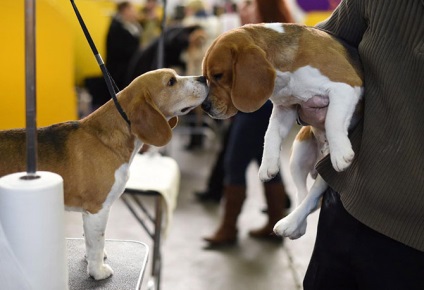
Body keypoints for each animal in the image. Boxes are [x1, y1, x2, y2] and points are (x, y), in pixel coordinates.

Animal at [0, 69, 208, 280]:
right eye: (171, 81)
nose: (204, 78)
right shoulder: (97, 209)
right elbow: (97, 243)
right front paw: (98, 271)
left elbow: (90, 240)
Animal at [202, 23, 364, 239]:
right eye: (206, 78)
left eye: (218, 75)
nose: (205, 106)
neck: (286, 75)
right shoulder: (286, 108)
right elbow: (270, 134)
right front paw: (267, 165)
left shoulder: (346, 85)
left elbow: (332, 120)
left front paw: (340, 152)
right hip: (298, 154)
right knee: (303, 195)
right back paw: (293, 224)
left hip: (325, 169)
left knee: (312, 197)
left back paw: (291, 222)